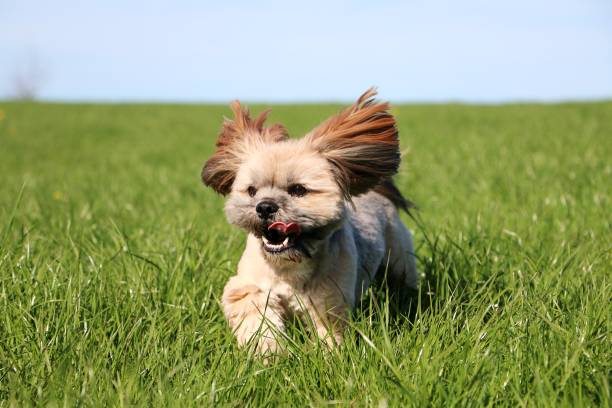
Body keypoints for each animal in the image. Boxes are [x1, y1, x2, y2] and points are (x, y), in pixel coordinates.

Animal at [201, 88, 416, 354]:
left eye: (298, 190)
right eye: (251, 191)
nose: (265, 206)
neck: (288, 267)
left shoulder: (329, 303)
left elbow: (329, 337)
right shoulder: (249, 286)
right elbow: (254, 311)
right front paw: (267, 350)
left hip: (399, 259)